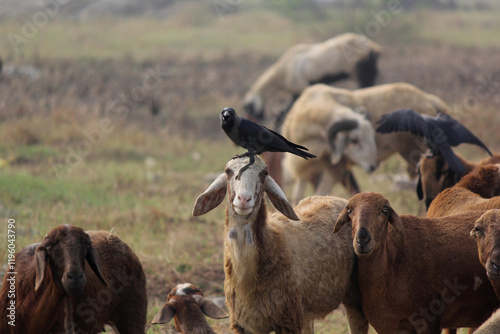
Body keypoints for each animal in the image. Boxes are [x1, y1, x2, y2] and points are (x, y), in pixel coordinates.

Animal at [191, 157, 368, 334]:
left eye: (264, 173)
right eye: (228, 171)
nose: (244, 199)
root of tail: (337, 199)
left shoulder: (288, 320)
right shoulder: (244, 325)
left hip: (354, 298)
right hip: (305, 313)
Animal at [244, 32, 380, 120]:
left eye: (249, 108)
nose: (256, 119)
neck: (284, 70)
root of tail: (371, 45)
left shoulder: (300, 89)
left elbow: (287, 112)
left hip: (361, 71)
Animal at [282, 82, 450, 202]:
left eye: (371, 135)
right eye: (354, 140)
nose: (373, 166)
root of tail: (432, 101)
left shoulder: (335, 169)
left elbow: (321, 194)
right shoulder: (304, 169)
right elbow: (298, 197)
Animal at [330, 192, 498, 332]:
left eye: (385, 209)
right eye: (349, 210)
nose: (362, 239)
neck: (391, 264)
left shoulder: (428, 321)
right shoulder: (390, 327)